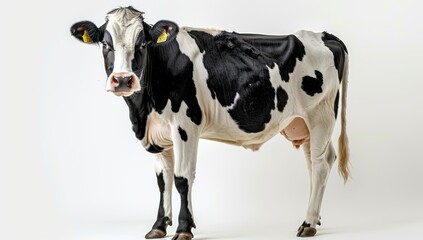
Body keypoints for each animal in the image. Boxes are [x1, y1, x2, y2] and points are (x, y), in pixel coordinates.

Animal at [71, 6, 352, 240]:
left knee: (320, 164)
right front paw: (159, 226)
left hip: (321, 116)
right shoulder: (156, 134)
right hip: (301, 124)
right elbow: (163, 180)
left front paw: (184, 228)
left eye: (142, 43)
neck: (144, 109)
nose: (123, 80)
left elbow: (182, 178)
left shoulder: (185, 126)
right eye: (106, 44)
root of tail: (322, 35)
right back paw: (314, 218)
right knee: (315, 162)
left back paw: (308, 223)